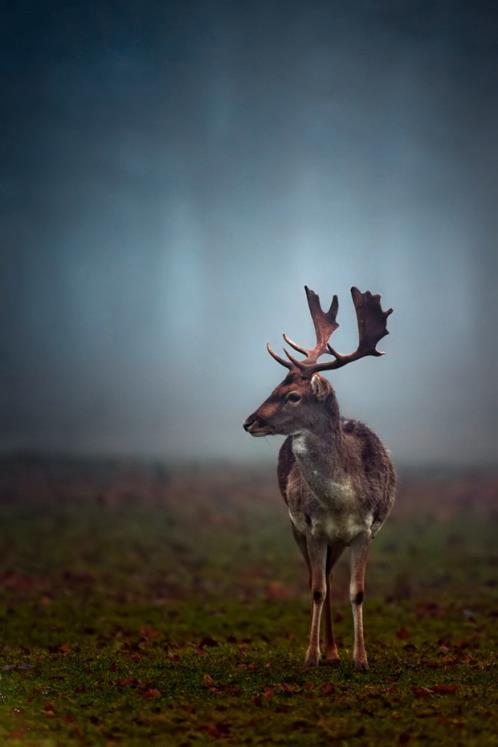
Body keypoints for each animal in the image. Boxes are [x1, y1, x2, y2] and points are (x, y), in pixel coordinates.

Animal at [243, 286, 394, 672]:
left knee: (328, 575)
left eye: (293, 395)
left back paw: (336, 650)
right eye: (274, 387)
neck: (343, 502)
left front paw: (361, 659)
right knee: (319, 577)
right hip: (299, 527)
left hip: (338, 541)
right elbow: (316, 589)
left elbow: (357, 593)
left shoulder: (366, 530)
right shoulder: (311, 527)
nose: (249, 421)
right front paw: (311, 657)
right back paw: (329, 651)